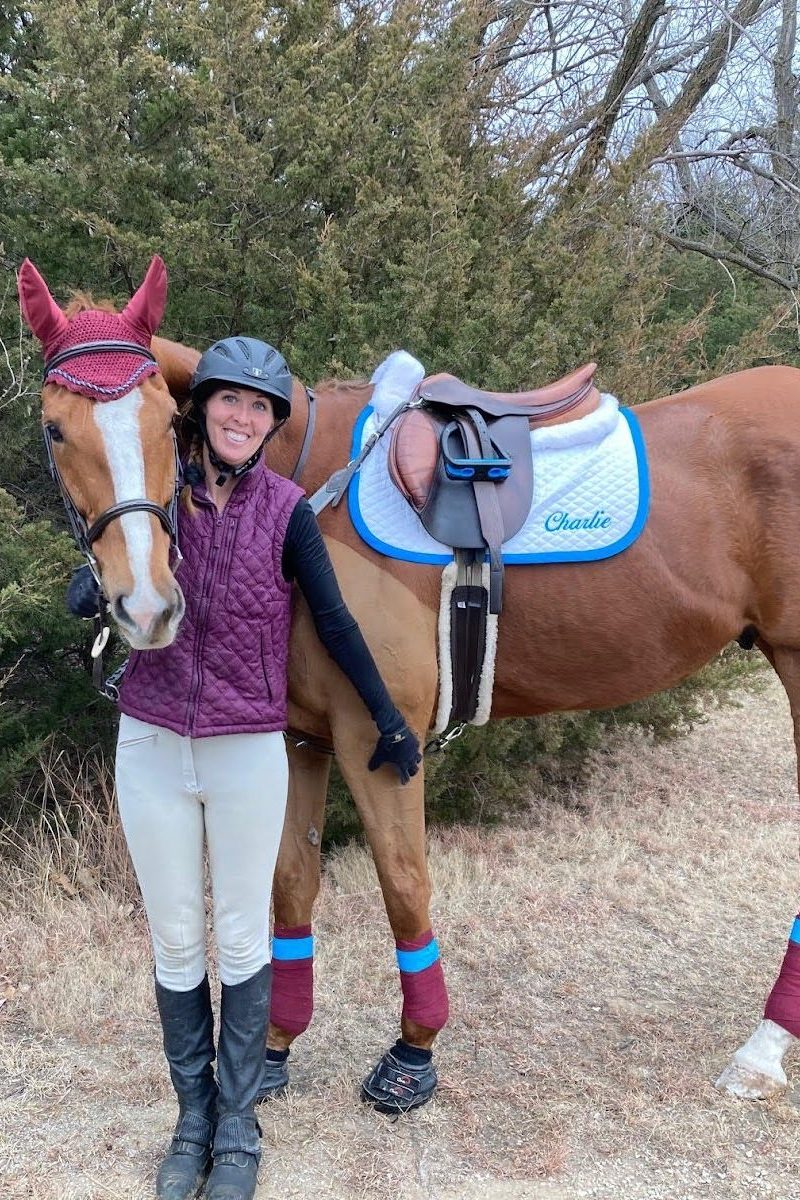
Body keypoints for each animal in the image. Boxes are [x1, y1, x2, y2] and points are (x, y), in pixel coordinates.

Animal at [17, 255, 800, 1111]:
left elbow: (403, 886)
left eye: (165, 422)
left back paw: (762, 1050)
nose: (145, 604)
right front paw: (275, 1048)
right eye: (57, 429)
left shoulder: (376, 737)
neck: (303, 481)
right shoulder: (303, 739)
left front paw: (413, 1052)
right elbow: (292, 884)